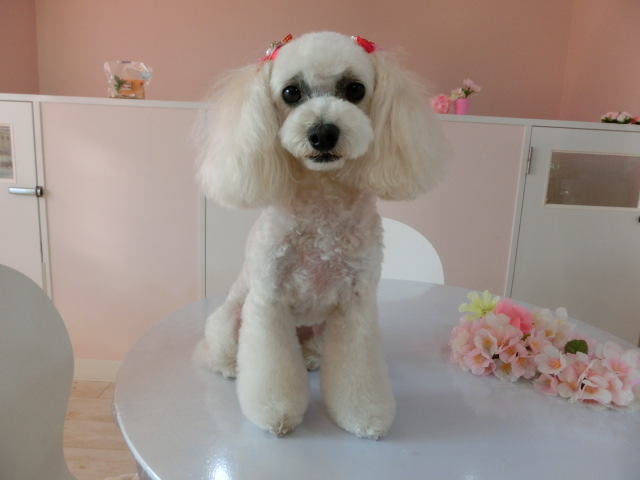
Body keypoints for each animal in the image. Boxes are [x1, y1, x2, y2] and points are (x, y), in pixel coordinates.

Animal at [196, 31, 446, 439]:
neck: (323, 203)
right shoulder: (268, 303)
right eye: (291, 92)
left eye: (355, 89)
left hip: (322, 326)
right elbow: (271, 372)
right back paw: (230, 365)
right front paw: (276, 414)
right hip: (231, 315)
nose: (323, 132)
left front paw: (363, 415)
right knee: (218, 349)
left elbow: (357, 373)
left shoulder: (356, 305)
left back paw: (311, 357)